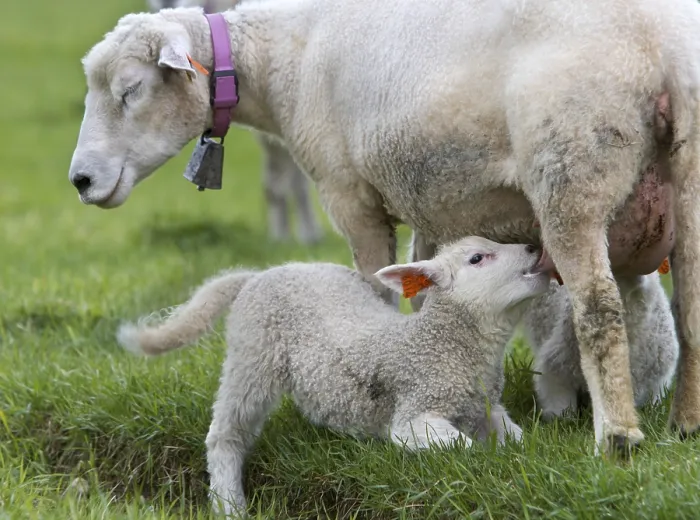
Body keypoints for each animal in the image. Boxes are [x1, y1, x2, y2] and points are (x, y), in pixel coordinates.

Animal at [118, 236, 555, 515]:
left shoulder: (486, 405)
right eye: (477, 259)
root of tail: (262, 274)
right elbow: (459, 447)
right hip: (252, 354)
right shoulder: (413, 411)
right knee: (226, 434)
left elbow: (515, 437)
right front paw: (486, 464)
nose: (534, 246)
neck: (441, 345)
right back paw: (230, 505)